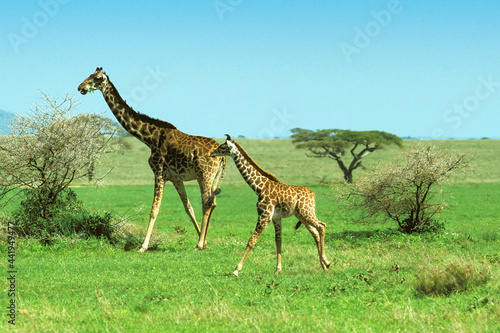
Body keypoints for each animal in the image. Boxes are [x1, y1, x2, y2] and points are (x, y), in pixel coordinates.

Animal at [77, 67, 226, 249]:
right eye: (89, 75)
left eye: (97, 78)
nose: (81, 87)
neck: (150, 138)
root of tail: (222, 156)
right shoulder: (176, 178)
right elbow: (188, 207)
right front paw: (203, 240)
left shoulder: (159, 172)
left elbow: (154, 210)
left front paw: (143, 246)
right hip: (213, 176)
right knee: (212, 202)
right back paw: (201, 242)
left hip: (204, 174)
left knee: (207, 203)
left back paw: (198, 245)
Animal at [210, 134, 330, 274]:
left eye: (223, 147)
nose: (212, 153)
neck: (258, 187)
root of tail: (313, 194)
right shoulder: (275, 218)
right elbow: (278, 241)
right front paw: (278, 269)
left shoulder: (264, 215)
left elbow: (251, 240)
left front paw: (236, 270)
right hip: (302, 215)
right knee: (315, 232)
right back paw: (324, 265)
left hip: (306, 212)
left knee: (321, 226)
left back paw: (326, 261)